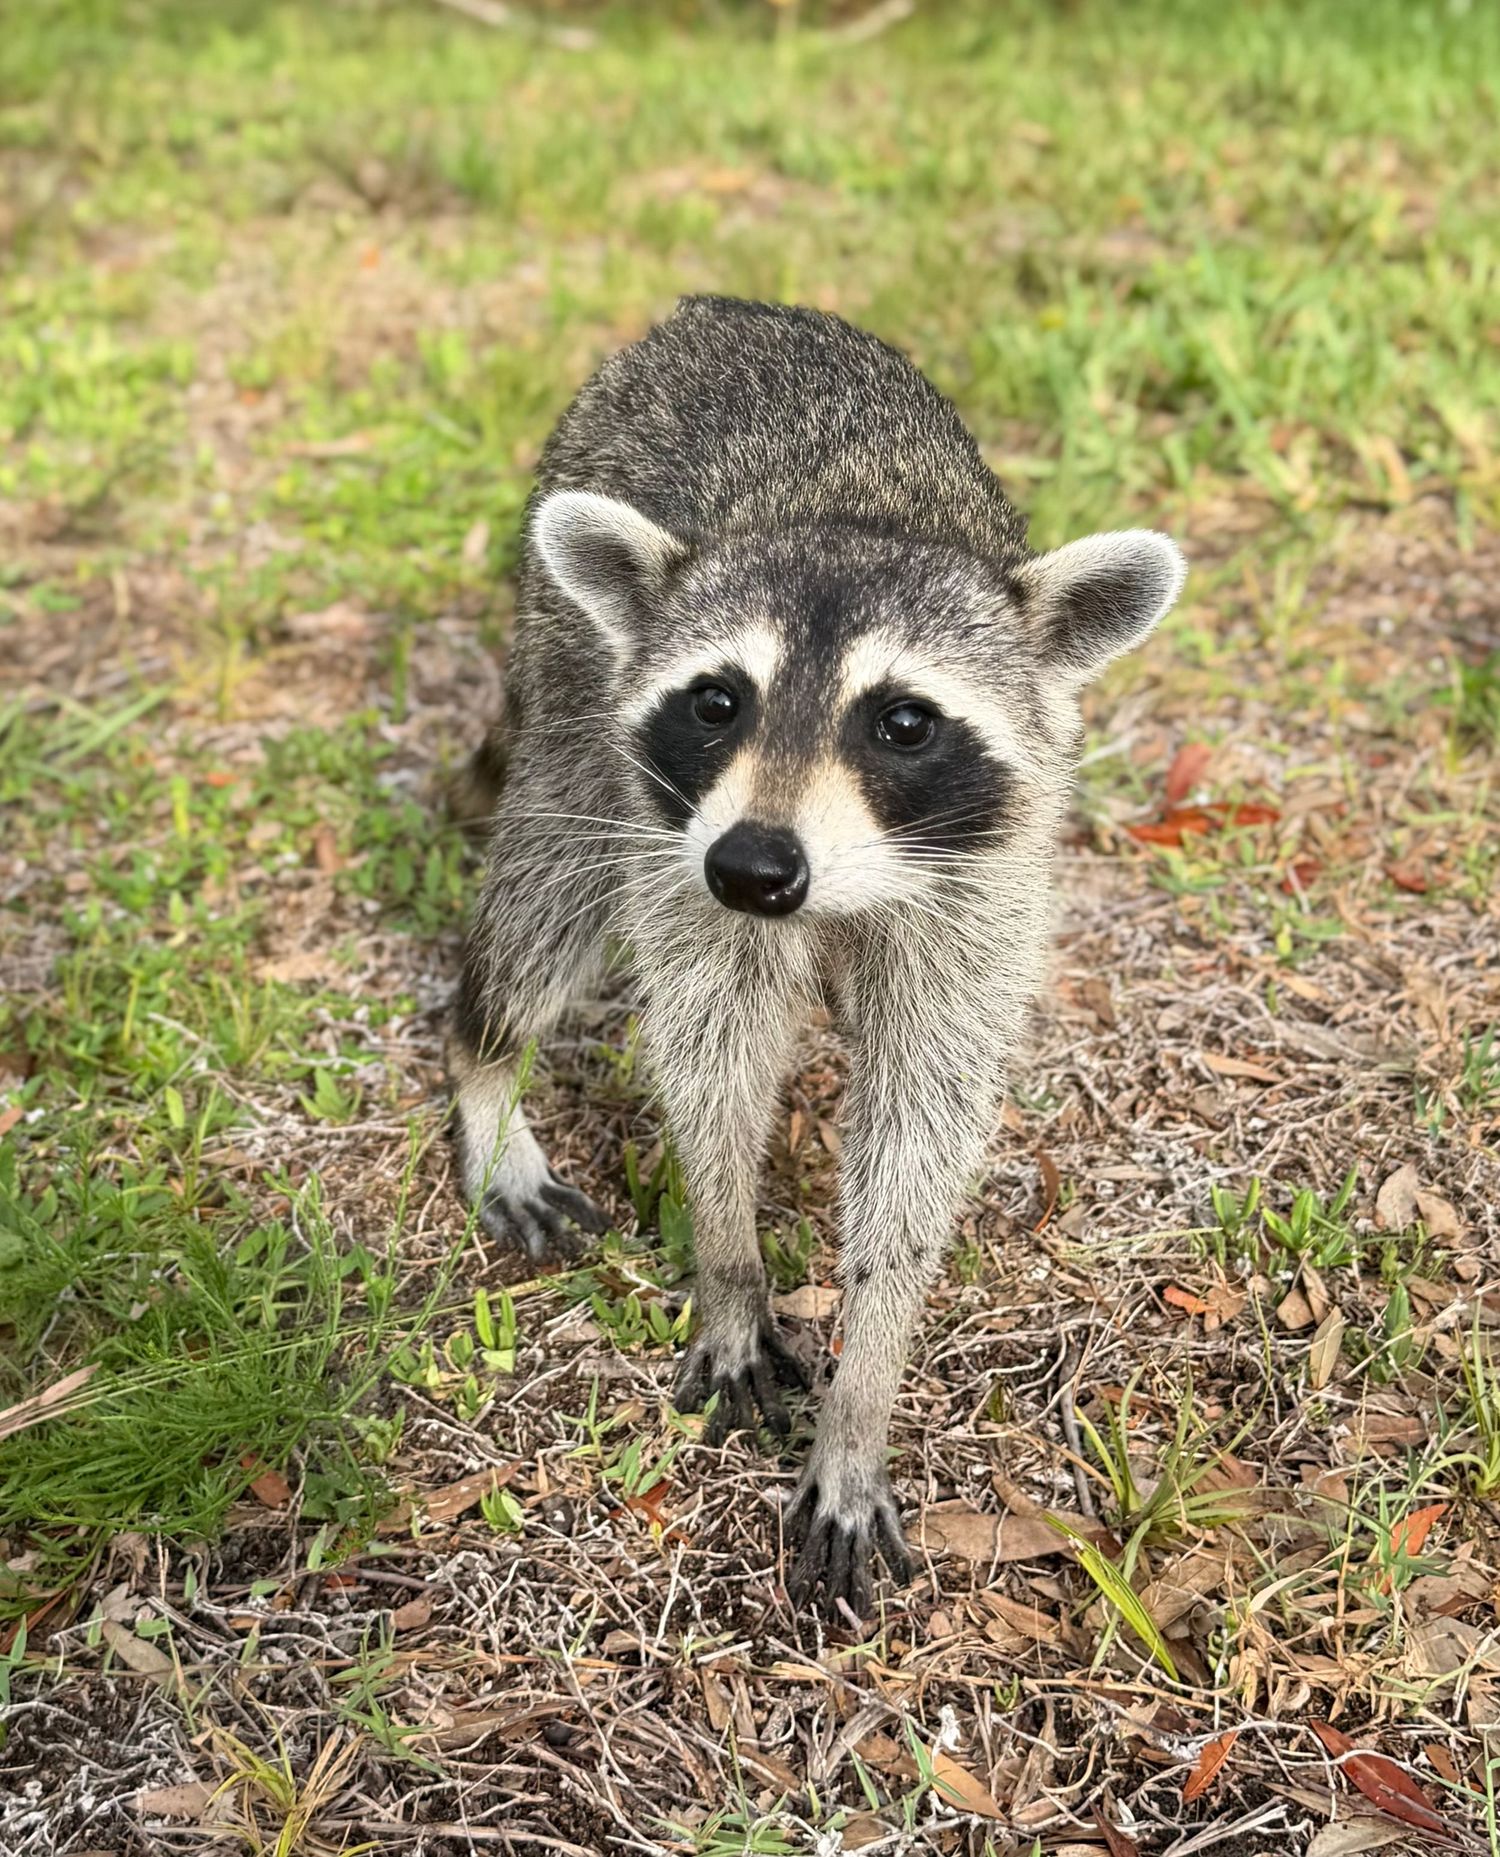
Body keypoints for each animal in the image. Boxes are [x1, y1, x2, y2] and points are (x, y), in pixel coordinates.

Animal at [448, 296, 1185, 1616]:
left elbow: (921, 1124)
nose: (755, 871)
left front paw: (867, 1381)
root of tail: (716, 307)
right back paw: (487, 1059)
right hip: (573, 682)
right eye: (716, 702)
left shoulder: (982, 883)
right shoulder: (681, 839)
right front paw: (729, 1256)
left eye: (903, 722)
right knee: (547, 889)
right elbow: (714, 1052)